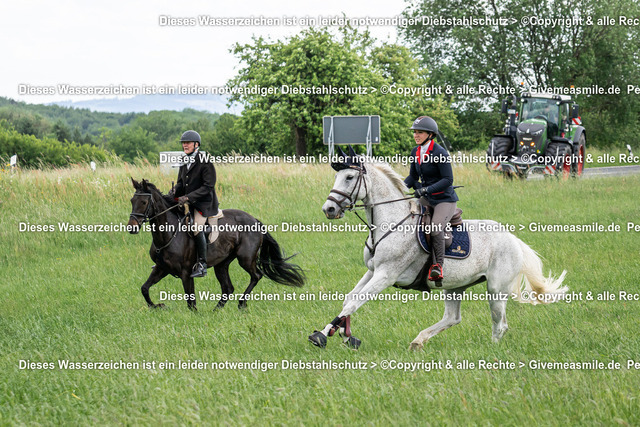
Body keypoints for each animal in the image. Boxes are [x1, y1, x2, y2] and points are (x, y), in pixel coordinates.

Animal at [127, 178, 304, 310]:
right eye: (132, 200)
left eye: (144, 202)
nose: (131, 227)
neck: (169, 234)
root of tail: (254, 220)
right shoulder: (161, 268)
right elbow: (144, 288)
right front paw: (158, 306)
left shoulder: (186, 272)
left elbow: (191, 301)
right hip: (222, 264)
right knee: (228, 288)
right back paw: (216, 309)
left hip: (245, 259)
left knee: (256, 276)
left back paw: (241, 304)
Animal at [308, 154, 564, 352]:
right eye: (337, 177)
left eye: (349, 177)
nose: (328, 209)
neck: (390, 222)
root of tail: (513, 239)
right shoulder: (372, 271)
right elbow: (348, 299)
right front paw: (344, 334)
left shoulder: (386, 275)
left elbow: (354, 303)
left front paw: (322, 336)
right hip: (455, 285)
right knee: (453, 318)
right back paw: (418, 341)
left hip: (496, 288)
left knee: (499, 323)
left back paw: (491, 351)